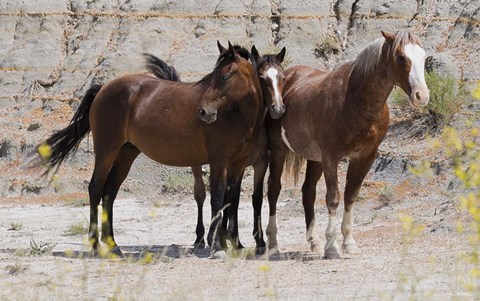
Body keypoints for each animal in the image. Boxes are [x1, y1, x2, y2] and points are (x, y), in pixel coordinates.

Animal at [32, 41, 266, 255]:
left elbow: (232, 199)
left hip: (126, 154)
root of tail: (103, 88)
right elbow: (218, 198)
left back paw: (113, 245)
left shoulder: (238, 163)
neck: (234, 114)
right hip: (106, 150)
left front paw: (236, 244)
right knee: (95, 188)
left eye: (226, 76)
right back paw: (96, 246)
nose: (204, 112)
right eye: (214, 75)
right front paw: (216, 245)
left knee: (109, 192)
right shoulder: (219, 161)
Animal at [188, 45, 286, 251]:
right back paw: (200, 237)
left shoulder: (260, 163)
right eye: (261, 77)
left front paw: (258, 240)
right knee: (200, 193)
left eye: (283, 77)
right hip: (197, 163)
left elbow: (255, 197)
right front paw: (227, 238)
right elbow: (229, 197)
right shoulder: (233, 163)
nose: (277, 109)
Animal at [264, 29, 430, 256]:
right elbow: (333, 198)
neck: (355, 100)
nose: (422, 96)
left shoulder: (364, 158)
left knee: (308, 192)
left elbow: (351, 196)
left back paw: (314, 242)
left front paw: (349, 243)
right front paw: (332, 247)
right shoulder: (331, 158)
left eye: (424, 57)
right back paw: (273, 245)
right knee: (274, 189)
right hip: (279, 150)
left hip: (314, 159)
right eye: (401, 57)